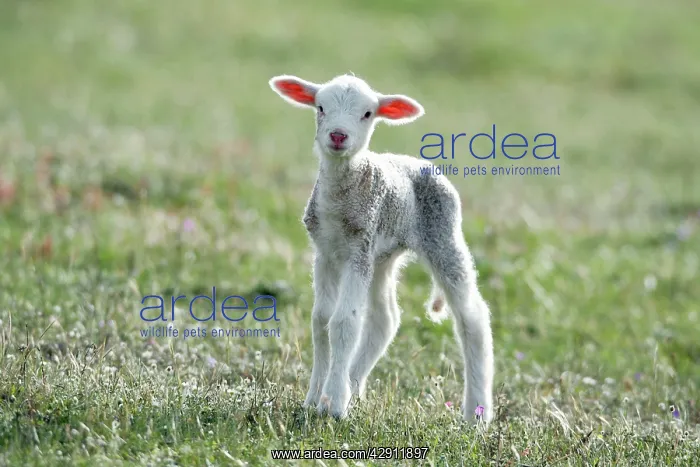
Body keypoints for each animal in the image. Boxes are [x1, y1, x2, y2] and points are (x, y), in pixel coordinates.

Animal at [268, 73, 495, 424]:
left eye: (367, 114)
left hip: (442, 235)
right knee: (385, 317)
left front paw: (333, 405)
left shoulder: (357, 251)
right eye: (320, 107)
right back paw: (354, 385)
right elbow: (321, 320)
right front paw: (314, 399)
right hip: (383, 256)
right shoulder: (326, 252)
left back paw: (477, 415)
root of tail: (419, 163)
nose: (338, 135)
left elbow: (344, 323)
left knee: (473, 317)